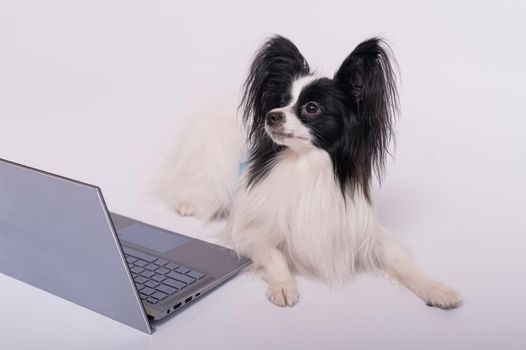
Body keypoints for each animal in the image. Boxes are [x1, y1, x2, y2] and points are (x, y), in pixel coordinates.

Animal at [160, 34, 462, 308]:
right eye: (280, 101)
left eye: (312, 108)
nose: (271, 115)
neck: (306, 163)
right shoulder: (248, 234)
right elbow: (275, 255)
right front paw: (283, 285)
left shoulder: (366, 232)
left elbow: (402, 261)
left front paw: (436, 289)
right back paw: (186, 204)